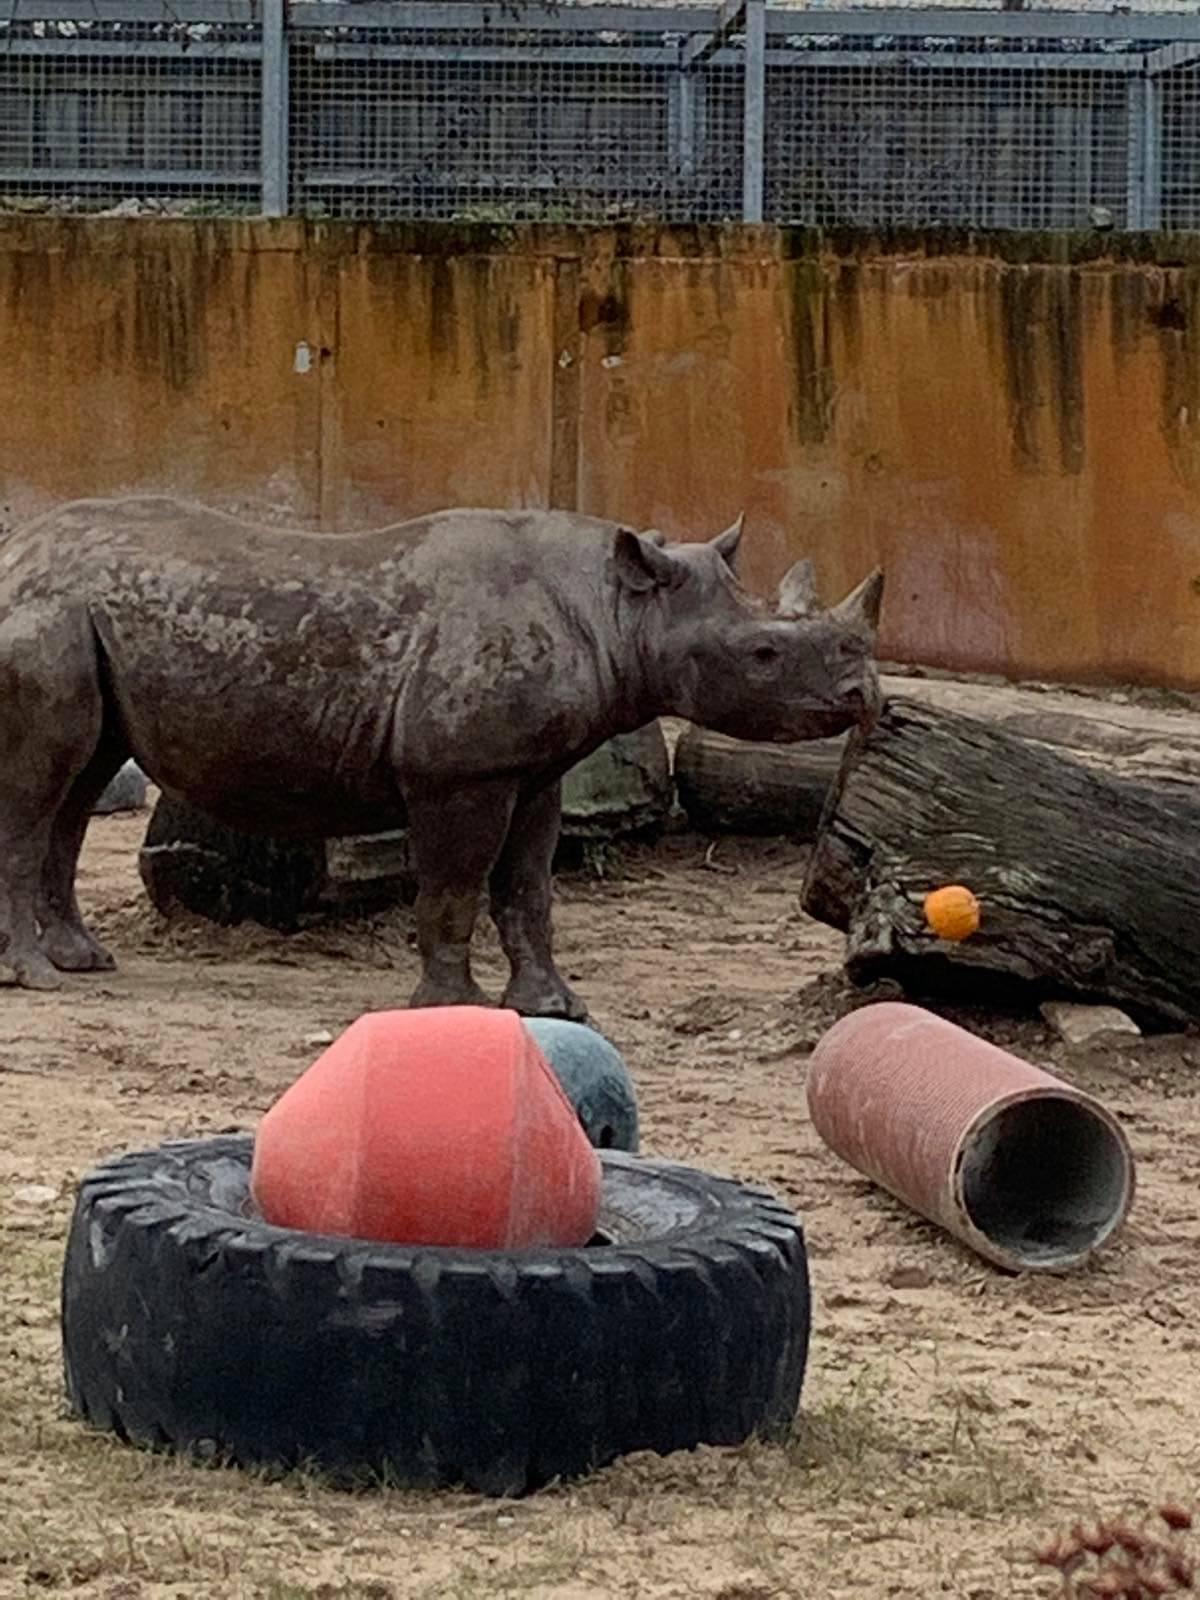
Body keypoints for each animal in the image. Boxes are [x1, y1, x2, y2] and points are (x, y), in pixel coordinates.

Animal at [0, 496, 883, 1017]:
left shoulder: (535, 771)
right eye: (764, 654)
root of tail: (15, 552)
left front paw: (553, 1008)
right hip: (45, 615)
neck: (616, 606)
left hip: (82, 622)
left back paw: (83, 963)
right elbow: (455, 886)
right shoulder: (462, 771)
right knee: (41, 788)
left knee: (79, 784)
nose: (863, 694)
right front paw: (451, 1008)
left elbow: (529, 889)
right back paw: (35, 979)